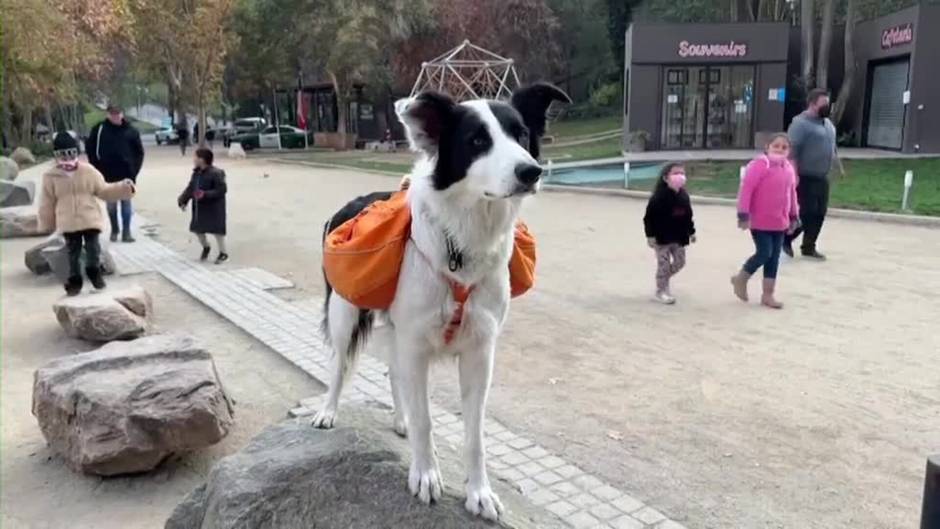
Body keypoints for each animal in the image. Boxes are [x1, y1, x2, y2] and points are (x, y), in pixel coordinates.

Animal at [312, 82, 568, 520]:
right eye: (477, 140)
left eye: (521, 135)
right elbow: (427, 421)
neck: (462, 243)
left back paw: (399, 419)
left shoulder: (480, 351)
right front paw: (426, 476)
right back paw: (328, 411)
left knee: (394, 374)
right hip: (344, 314)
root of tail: (353, 202)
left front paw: (479, 492)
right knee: (339, 366)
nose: (530, 171)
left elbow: (475, 435)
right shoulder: (416, 342)